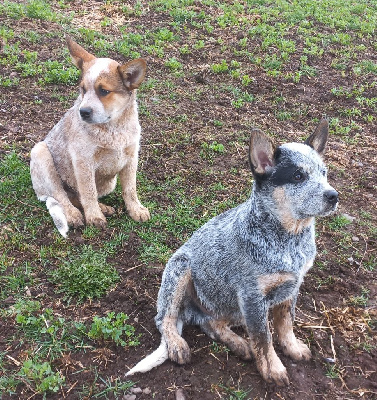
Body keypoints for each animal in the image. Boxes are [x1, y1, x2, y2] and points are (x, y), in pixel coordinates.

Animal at [30, 36, 150, 238]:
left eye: (104, 91)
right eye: (83, 90)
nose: (83, 112)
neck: (114, 128)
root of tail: (41, 194)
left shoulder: (131, 157)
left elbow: (130, 189)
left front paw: (136, 209)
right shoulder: (83, 161)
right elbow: (88, 192)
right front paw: (94, 216)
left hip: (109, 183)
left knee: (76, 196)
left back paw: (104, 208)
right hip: (40, 153)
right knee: (61, 195)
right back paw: (73, 214)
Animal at [125, 119, 338, 384]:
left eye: (324, 172)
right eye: (298, 176)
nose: (334, 196)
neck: (288, 239)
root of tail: (191, 313)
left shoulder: (292, 285)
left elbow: (286, 322)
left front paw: (293, 347)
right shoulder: (252, 295)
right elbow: (264, 337)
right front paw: (273, 369)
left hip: (230, 307)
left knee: (211, 324)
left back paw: (238, 344)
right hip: (180, 269)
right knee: (165, 318)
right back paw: (177, 344)